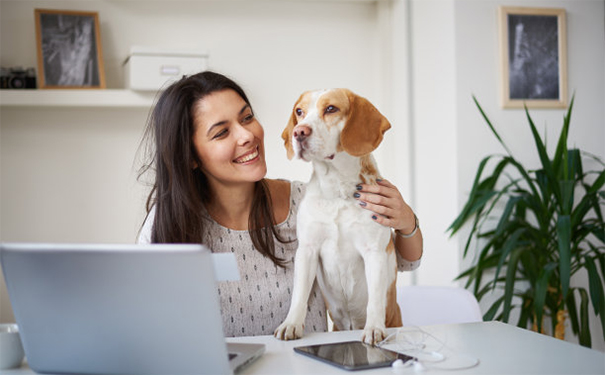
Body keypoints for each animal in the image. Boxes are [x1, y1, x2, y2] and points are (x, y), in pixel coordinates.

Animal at [274, 89, 402, 346]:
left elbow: (375, 299)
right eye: (299, 112)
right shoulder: (307, 250)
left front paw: (374, 328)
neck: (337, 191)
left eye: (331, 109)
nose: (298, 132)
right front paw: (291, 324)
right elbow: (299, 294)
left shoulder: (374, 252)